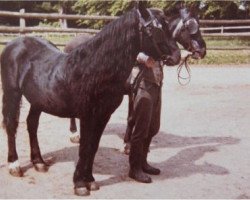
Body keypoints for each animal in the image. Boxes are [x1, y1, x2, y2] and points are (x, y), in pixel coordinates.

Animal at [0, 3, 180, 197]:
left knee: (32, 124)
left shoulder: (103, 116)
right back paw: (14, 165)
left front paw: (90, 180)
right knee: (11, 126)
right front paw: (79, 184)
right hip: (12, 94)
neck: (94, 70)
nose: (177, 56)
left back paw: (39, 162)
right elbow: (84, 147)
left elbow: (92, 147)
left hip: (38, 101)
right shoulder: (87, 116)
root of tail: (15, 43)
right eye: (156, 29)